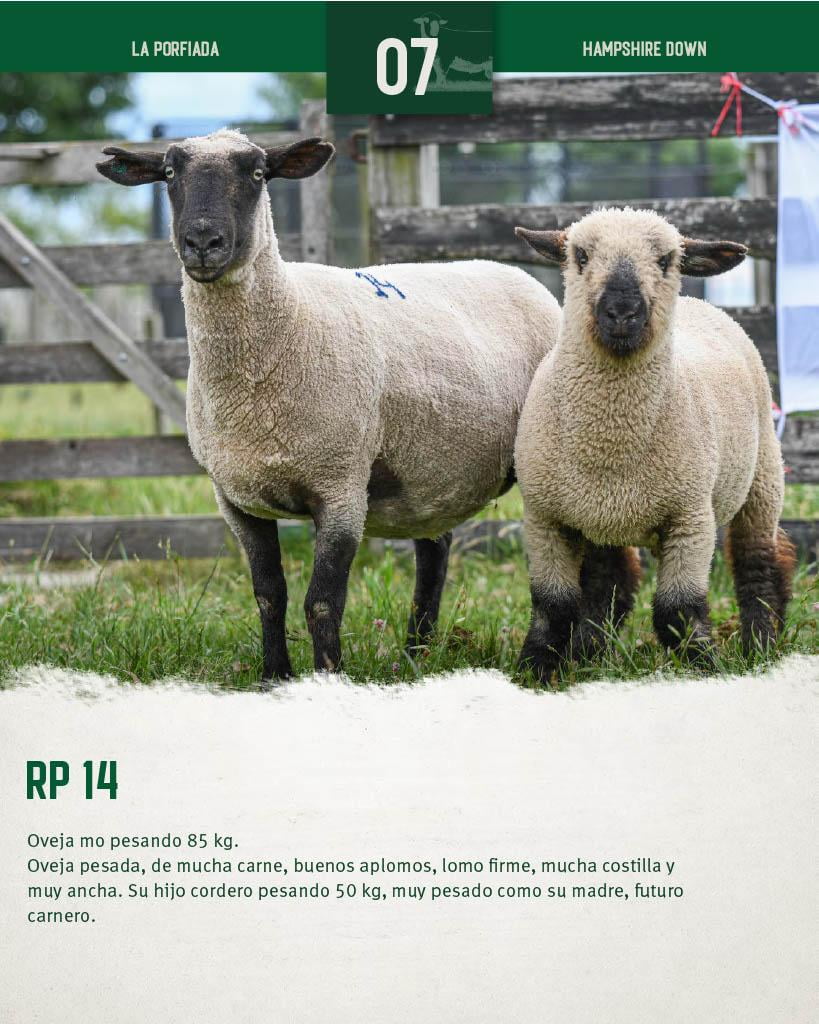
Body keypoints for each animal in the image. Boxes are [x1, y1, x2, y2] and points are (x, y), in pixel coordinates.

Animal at [97, 129, 578, 683]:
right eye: (170, 174)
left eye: (257, 173)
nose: (201, 243)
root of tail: (517, 274)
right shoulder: (235, 499)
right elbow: (269, 595)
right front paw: (274, 678)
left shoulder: (341, 487)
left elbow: (323, 602)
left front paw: (328, 677)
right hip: (431, 467)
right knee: (434, 554)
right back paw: (415, 655)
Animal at [513, 207, 794, 680]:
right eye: (580, 256)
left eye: (666, 260)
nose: (622, 312)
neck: (610, 448)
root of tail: (704, 305)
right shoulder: (544, 517)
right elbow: (553, 607)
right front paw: (534, 670)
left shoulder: (690, 516)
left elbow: (677, 611)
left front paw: (704, 667)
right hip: (600, 518)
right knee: (609, 579)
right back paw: (588, 654)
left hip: (763, 478)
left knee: (758, 562)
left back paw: (760, 646)